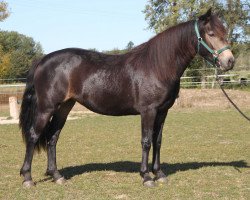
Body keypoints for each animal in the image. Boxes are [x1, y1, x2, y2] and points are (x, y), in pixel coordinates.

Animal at [19, 8, 234, 188]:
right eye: (211, 34)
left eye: (224, 32)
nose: (229, 61)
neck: (157, 66)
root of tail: (43, 60)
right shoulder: (148, 110)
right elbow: (146, 141)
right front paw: (146, 177)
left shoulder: (163, 111)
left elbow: (158, 141)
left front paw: (159, 174)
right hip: (46, 108)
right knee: (34, 136)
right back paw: (28, 178)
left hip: (64, 107)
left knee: (52, 138)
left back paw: (57, 176)